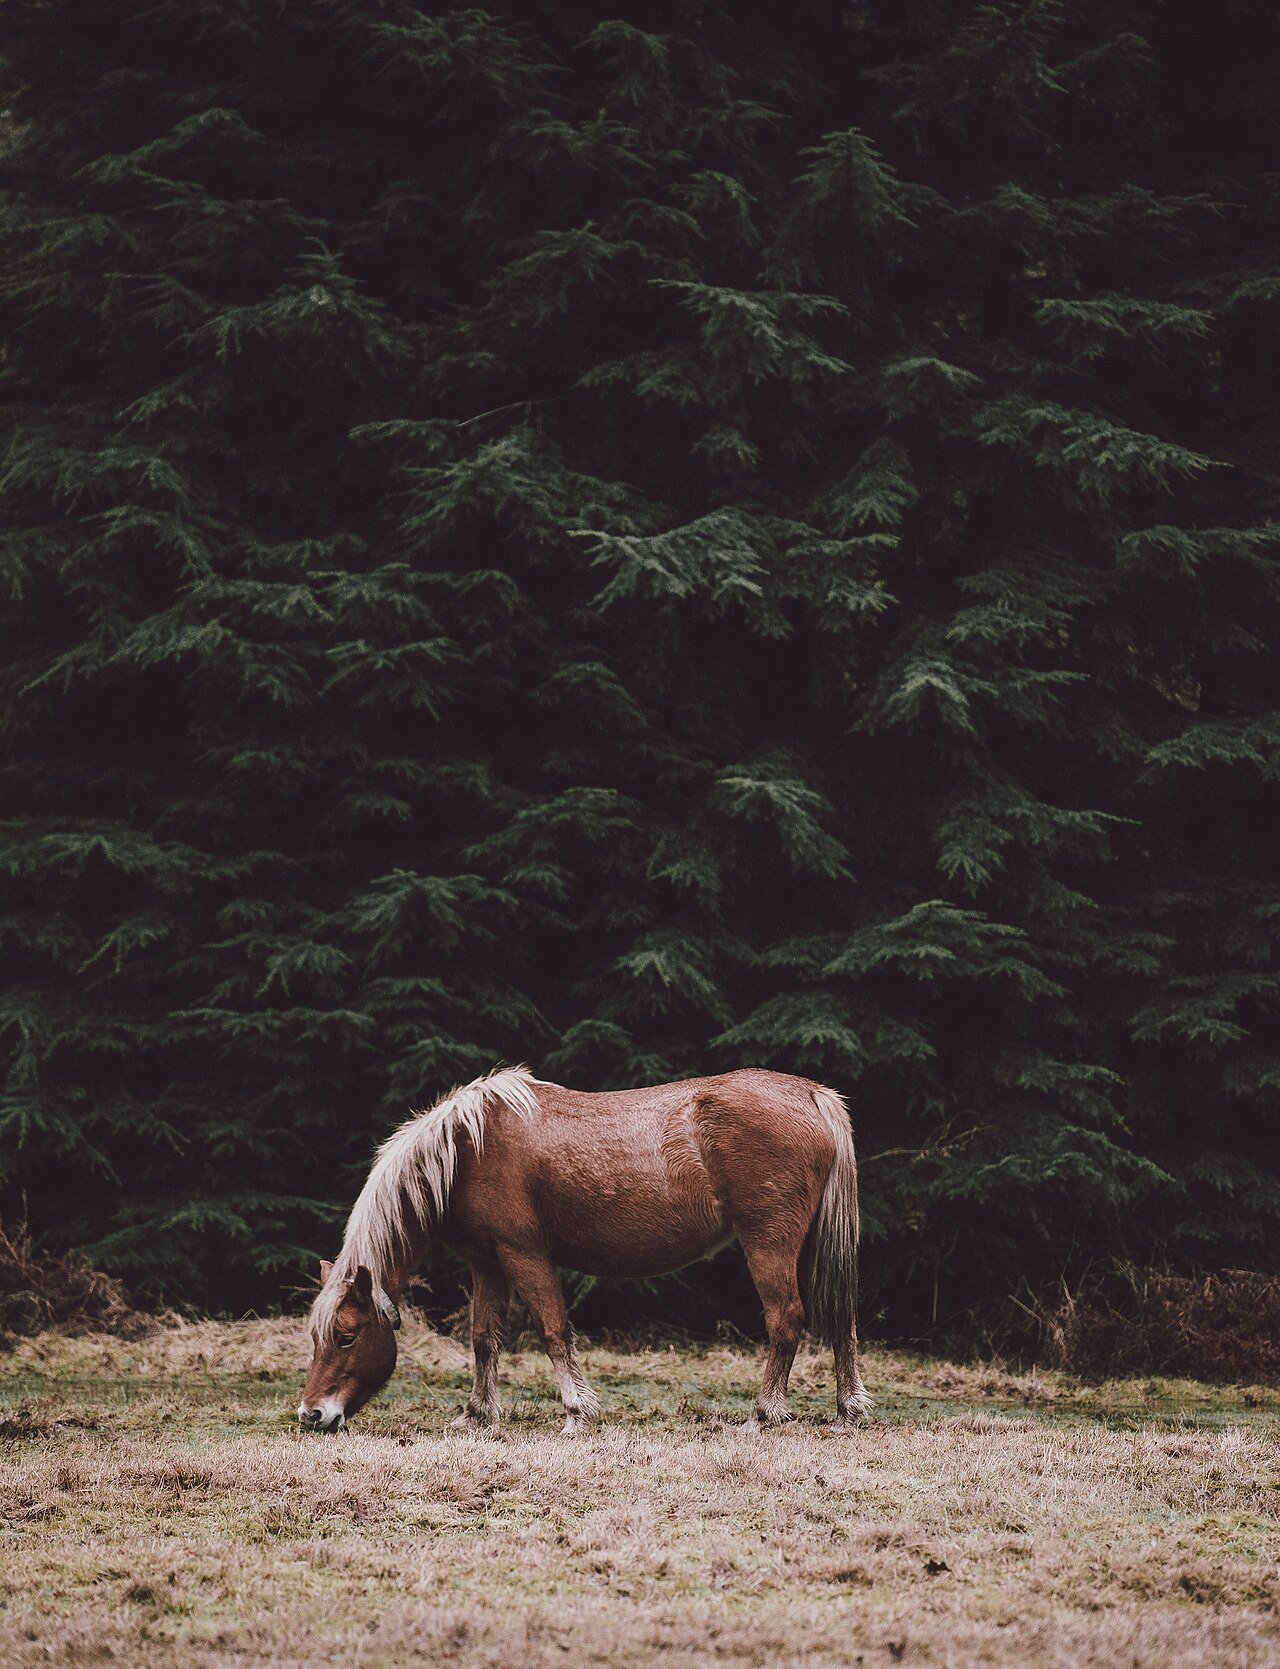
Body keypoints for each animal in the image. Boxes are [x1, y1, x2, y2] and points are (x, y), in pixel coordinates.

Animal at [299, 1065, 869, 1435]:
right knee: (841, 1320)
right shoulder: (488, 1265)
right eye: (316, 1337)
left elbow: (554, 1331)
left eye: (347, 1336)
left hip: (768, 1243)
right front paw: (477, 1415)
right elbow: (484, 1339)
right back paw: (848, 1410)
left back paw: (760, 1415)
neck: (468, 1149)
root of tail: (812, 1095)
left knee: (786, 1320)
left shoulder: (524, 1255)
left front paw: (576, 1413)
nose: (312, 1416)